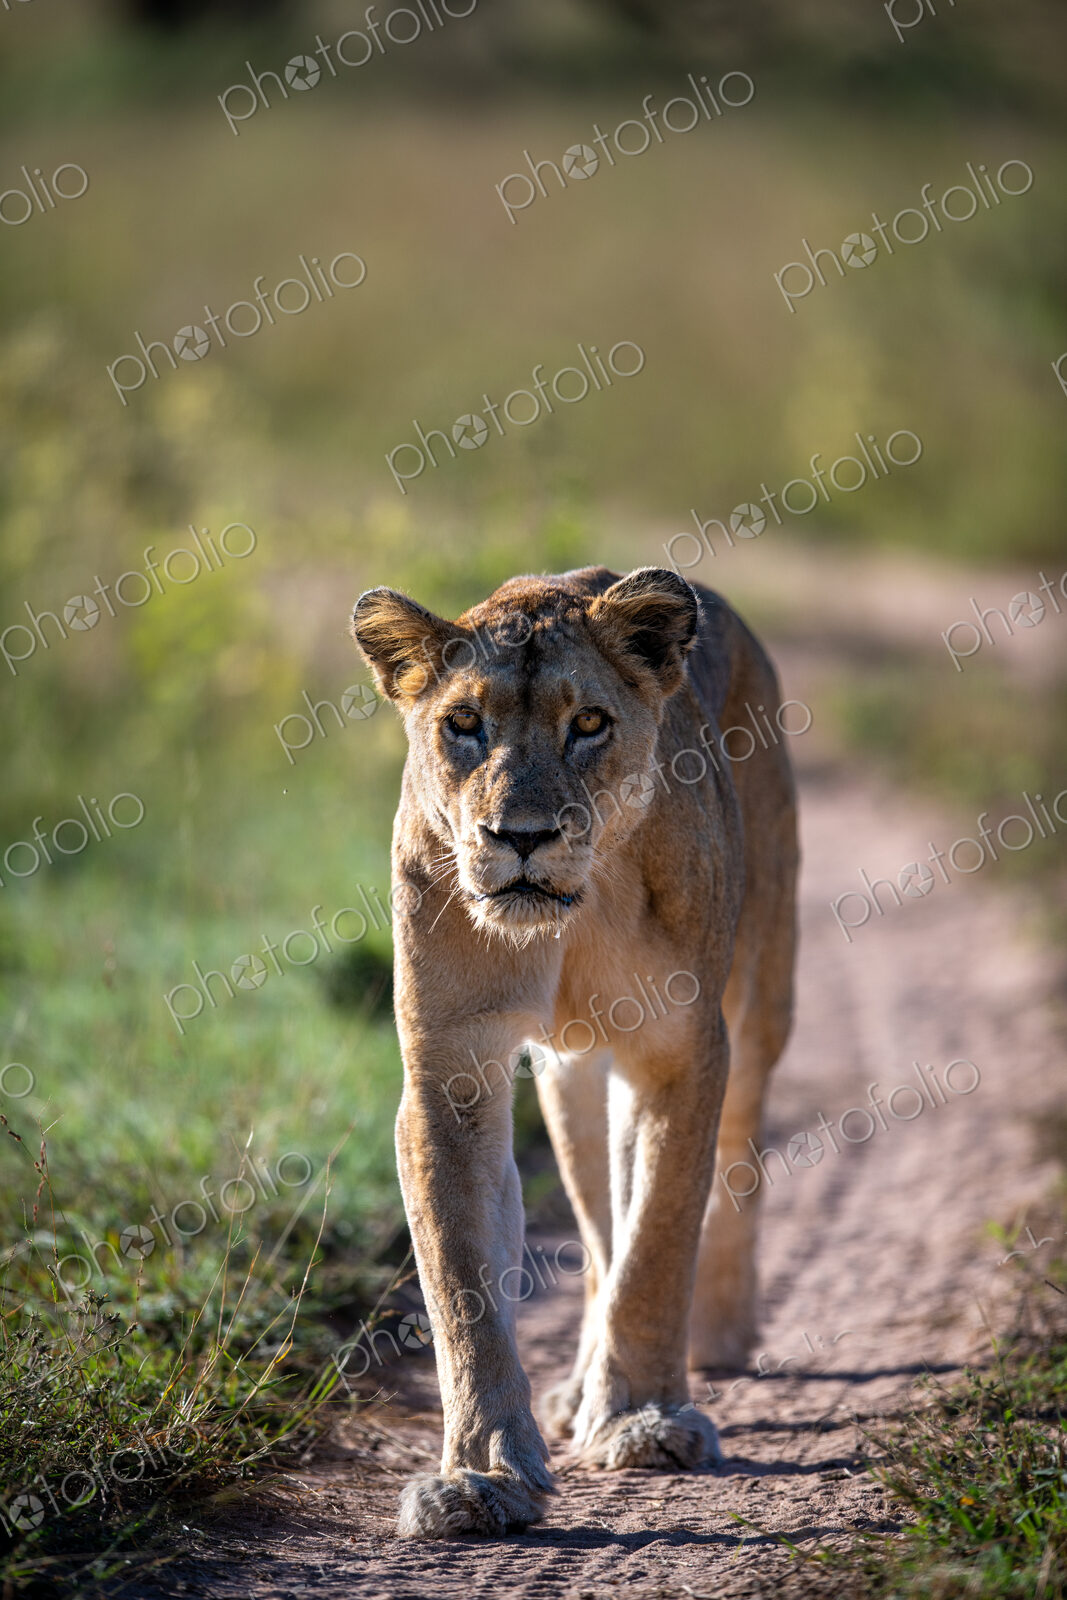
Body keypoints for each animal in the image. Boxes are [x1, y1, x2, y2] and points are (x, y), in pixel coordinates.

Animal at [351, 565, 798, 1539]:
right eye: (463, 724)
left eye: (588, 723)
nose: (519, 837)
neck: (572, 918)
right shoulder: (452, 1066)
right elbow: (462, 1280)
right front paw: (479, 1476)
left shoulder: (679, 1050)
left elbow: (659, 1237)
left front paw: (642, 1419)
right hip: (570, 1073)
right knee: (596, 1229)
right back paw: (577, 1390)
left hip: (762, 995)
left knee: (731, 1160)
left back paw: (716, 1337)